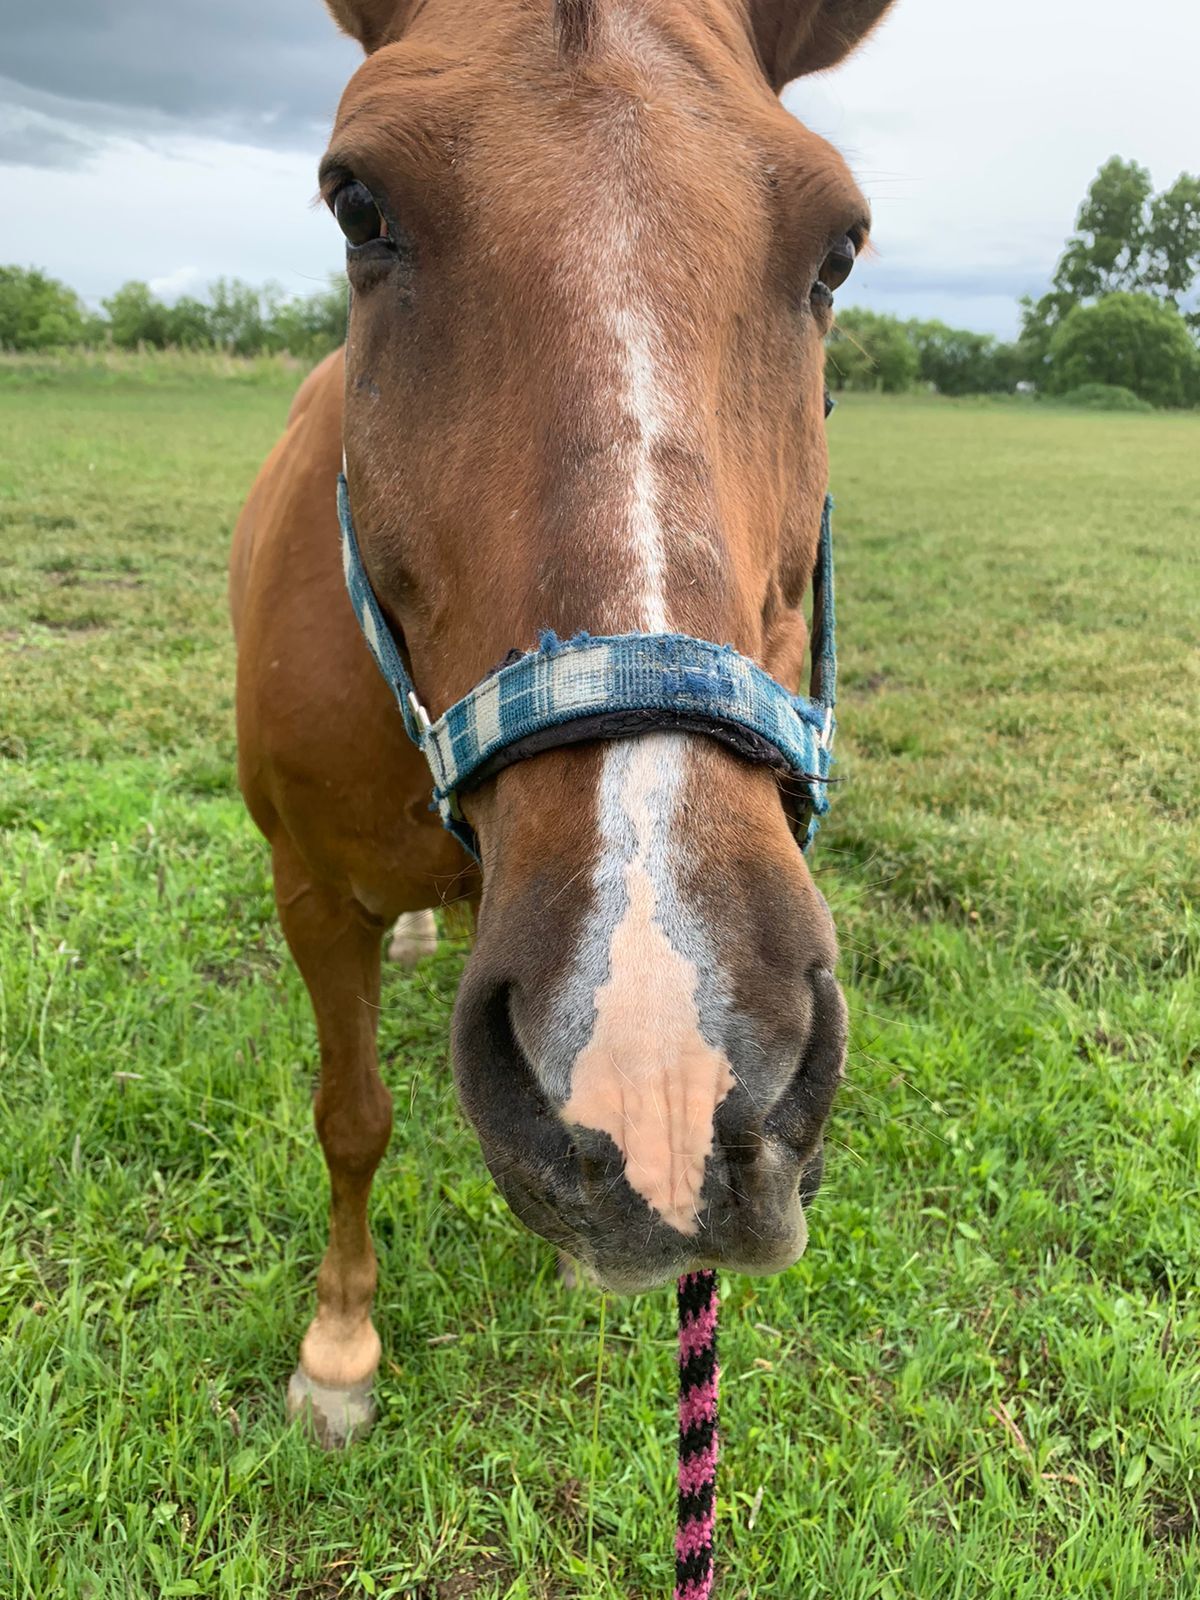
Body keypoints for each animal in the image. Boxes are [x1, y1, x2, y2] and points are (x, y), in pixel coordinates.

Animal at [230, 0, 896, 1452]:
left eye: (839, 246)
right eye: (358, 203)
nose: (664, 1068)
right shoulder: (308, 888)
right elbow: (350, 1116)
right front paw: (340, 1348)